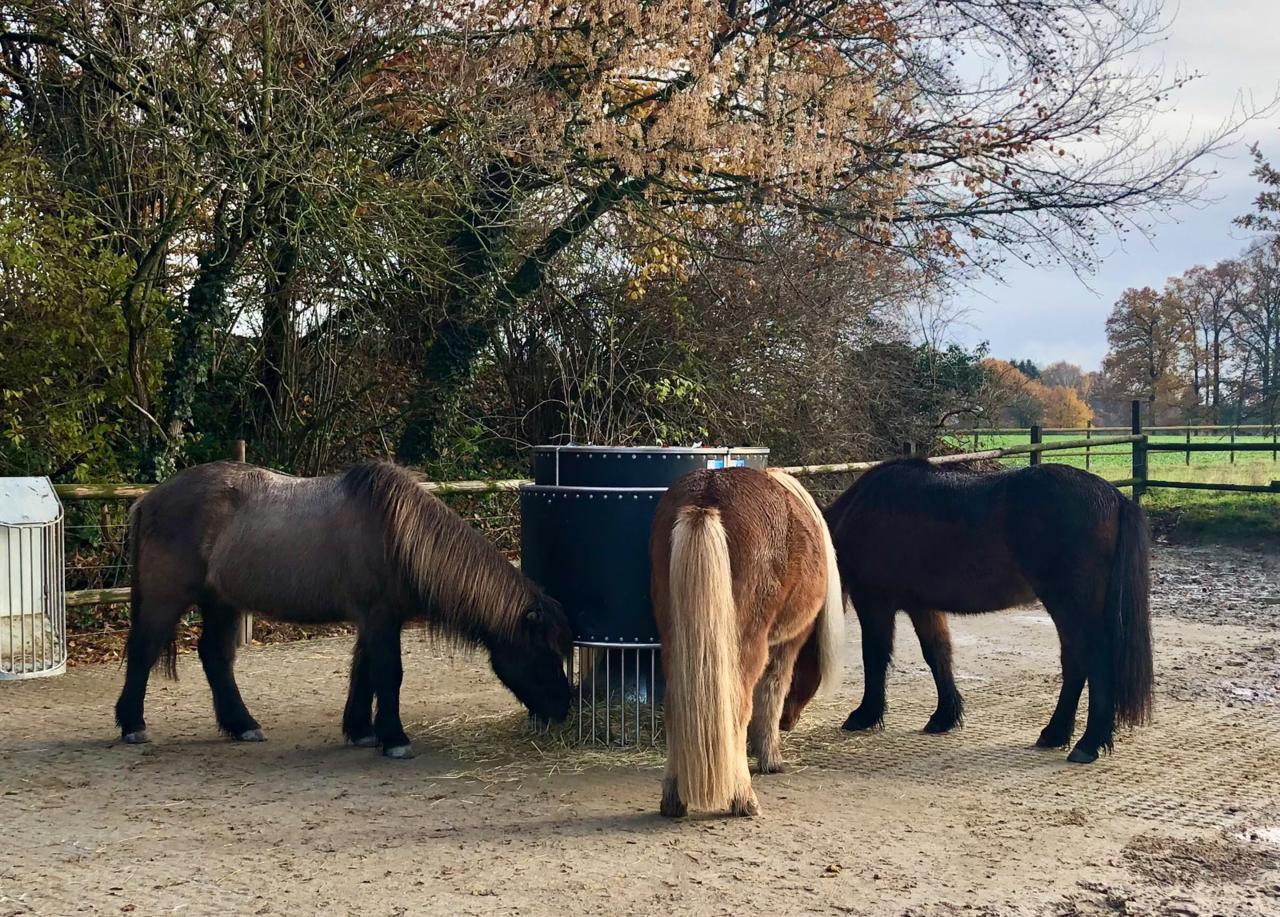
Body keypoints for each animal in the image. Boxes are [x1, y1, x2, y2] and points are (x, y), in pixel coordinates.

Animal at [114, 460, 573, 758]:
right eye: (542, 655)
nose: (564, 710)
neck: (398, 534)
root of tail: (149, 499)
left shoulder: (377, 620)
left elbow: (364, 674)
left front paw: (362, 730)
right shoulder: (380, 617)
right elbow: (389, 674)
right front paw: (395, 739)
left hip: (221, 601)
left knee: (215, 657)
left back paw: (242, 725)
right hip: (168, 597)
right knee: (142, 652)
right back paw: (133, 726)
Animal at [650, 466, 844, 817]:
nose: (789, 723)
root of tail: (707, 495)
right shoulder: (788, 643)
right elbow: (772, 691)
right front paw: (769, 756)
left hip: (674, 638)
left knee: (674, 707)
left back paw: (673, 798)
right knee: (738, 704)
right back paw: (743, 797)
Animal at [779, 458, 1153, 765]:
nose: (780, 721)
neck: (863, 512)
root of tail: (1115, 498)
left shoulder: (875, 602)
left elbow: (875, 656)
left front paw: (865, 714)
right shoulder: (922, 605)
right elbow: (937, 654)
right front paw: (945, 716)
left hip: (1070, 604)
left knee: (1093, 662)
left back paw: (1087, 743)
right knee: (1076, 663)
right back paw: (1055, 733)